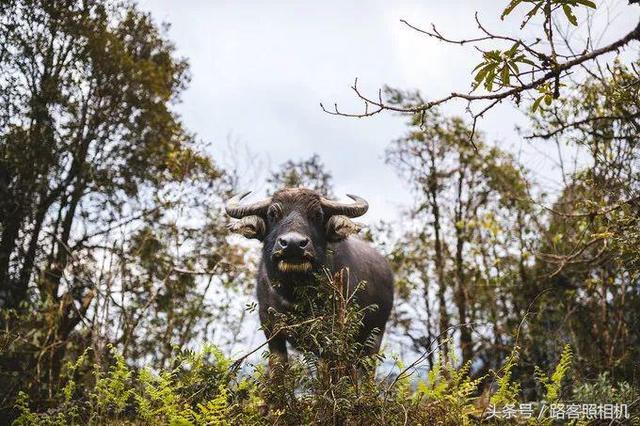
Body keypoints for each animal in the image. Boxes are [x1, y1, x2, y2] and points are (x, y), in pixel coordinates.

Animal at [225, 187, 396, 362]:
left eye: (318, 215)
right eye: (272, 214)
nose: (292, 244)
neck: (294, 294)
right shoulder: (271, 329)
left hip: (374, 338)